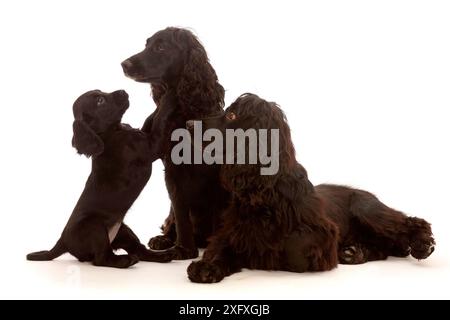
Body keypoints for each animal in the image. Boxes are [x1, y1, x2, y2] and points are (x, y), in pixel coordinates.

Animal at [187, 93, 436, 282]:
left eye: (232, 115)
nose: (188, 124)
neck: (267, 191)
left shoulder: (323, 231)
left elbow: (295, 247)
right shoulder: (233, 229)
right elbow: (223, 246)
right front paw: (206, 266)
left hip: (366, 207)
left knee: (409, 223)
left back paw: (422, 244)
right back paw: (356, 252)